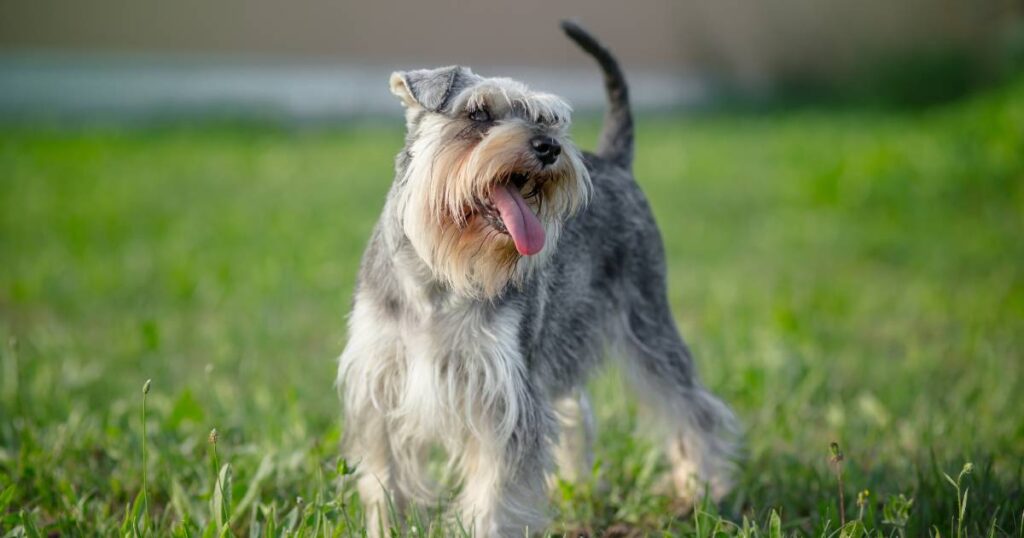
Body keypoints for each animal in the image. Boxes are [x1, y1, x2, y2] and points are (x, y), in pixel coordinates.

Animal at [339, 22, 741, 536]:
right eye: (478, 113)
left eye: (548, 119)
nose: (549, 148)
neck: (439, 277)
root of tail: (614, 160)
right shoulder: (380, 386)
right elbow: (383, 479)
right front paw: (384, 525)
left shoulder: (504, 396)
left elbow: (494, 494)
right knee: (577, 411)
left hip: (647, 322)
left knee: (690, 406)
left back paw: (701, 490)